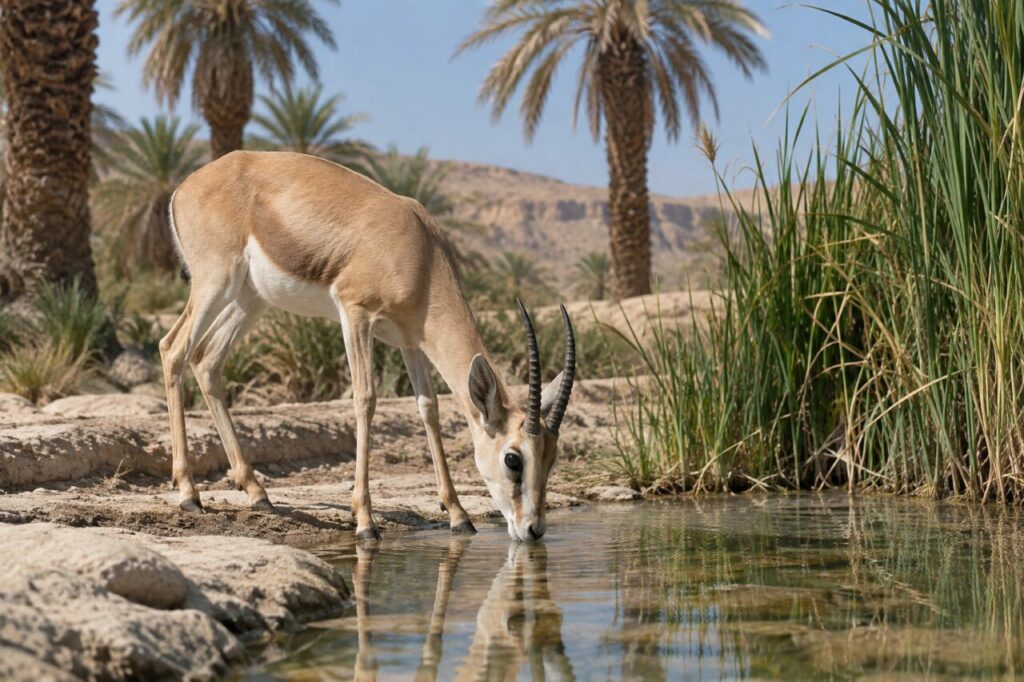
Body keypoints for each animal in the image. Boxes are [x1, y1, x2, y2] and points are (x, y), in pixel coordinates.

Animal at [161, 150, 576, 541]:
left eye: (552, 457)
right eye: (513, 459)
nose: (534, 529)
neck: (418, 251)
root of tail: (185, 186)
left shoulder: (411, 340)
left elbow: (429, 408)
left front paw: (458, 515)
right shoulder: (355, 313)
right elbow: (365, 398)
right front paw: (365, 521)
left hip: (251, 298)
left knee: (207, 361)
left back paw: (257, 492)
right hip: (216, 282)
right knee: (173, 349)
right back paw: (189, 494)